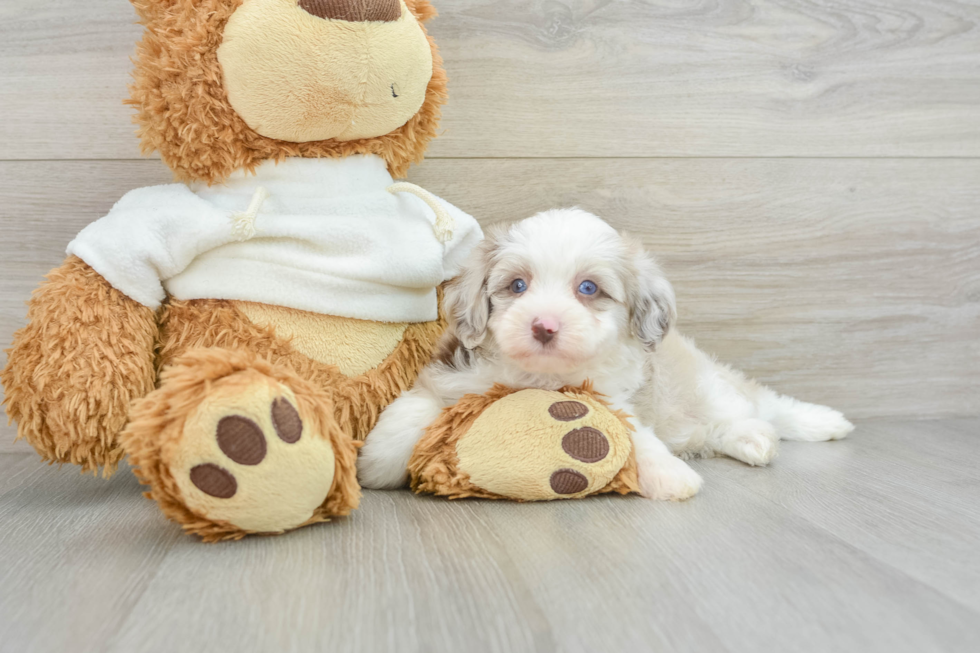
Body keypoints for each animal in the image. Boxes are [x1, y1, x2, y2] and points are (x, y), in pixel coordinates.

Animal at [356, 209, 852, 500]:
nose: (544, 326)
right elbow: (411, 410)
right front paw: (375, 465)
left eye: (589, 288)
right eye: (517, 285)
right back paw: (750, 442)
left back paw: (797, 428)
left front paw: (670, 477)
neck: (542, 378)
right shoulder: (449, 374)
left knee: (761, 406)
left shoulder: (611, 398)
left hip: (704, 386)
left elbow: (635, 436)